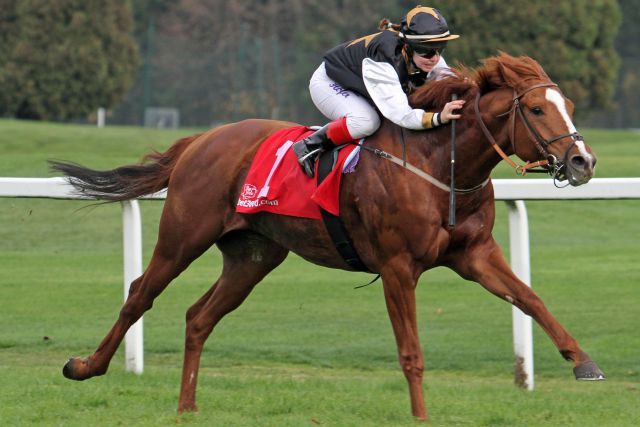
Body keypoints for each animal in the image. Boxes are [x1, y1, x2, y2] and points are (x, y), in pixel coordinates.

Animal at [52, 54, 604, 422]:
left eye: (569, 104)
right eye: (537, 110)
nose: (583, 162)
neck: (439, 167)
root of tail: (201, 139)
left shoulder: (475, 255)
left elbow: (531, 299)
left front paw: (584, 363)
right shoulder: (397, 266)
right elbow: (411, 352)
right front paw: (421, 415)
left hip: (253, 256)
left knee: (198, 316)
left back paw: (187, 406)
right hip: (183, 236)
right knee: (140, 294)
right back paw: (85, 367)